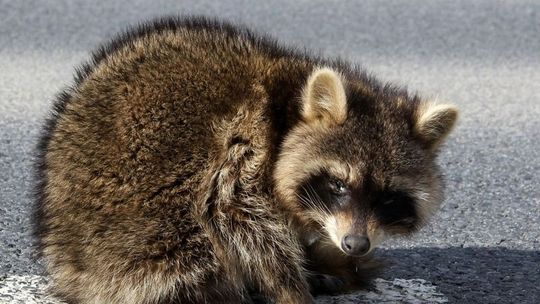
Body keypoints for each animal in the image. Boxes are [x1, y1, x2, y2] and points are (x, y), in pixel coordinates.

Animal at [32, 16, 456, 304]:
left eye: (388, 198)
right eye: (337, 185)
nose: (355, 244)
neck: (289, 106)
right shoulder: (245, 146)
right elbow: (242, 219)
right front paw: (291, 287)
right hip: (148, 228)